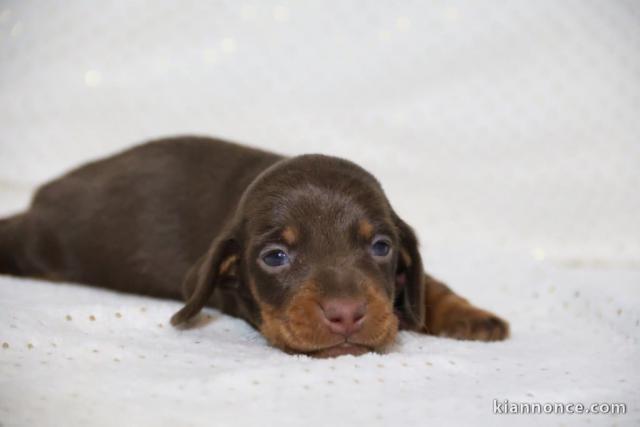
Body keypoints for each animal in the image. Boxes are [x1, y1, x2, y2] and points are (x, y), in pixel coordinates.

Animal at [1, 136, 510, 358]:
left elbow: (427, 284)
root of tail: (44, 195)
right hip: (41, 243)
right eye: (275, 257)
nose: (347, 314)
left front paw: (469, 315)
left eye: (381, 246)